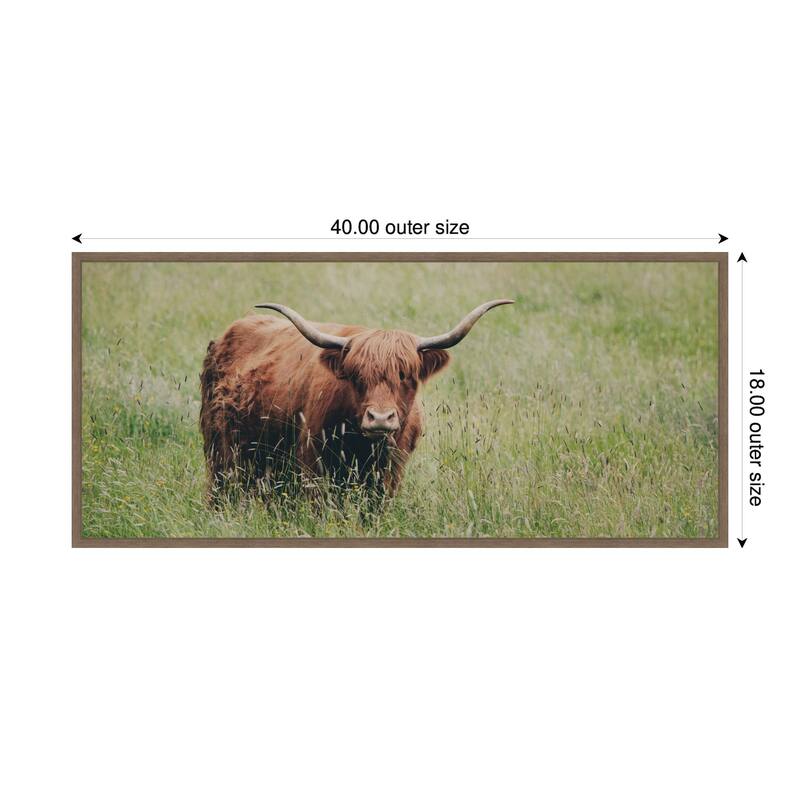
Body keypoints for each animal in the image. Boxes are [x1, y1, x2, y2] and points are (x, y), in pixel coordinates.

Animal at [199, 299, 513, 503]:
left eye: (405, 375)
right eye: (356, 376)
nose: (380, 419)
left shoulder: (391, 473)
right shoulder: (312, 465)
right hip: (221, 451)